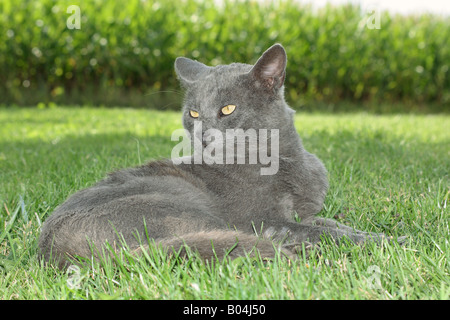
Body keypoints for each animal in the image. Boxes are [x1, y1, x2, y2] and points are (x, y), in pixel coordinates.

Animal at [37, 42, 400, 268]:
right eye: (193, 113)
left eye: (227, 109)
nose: (202, 134)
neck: (282, 159)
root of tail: (56, 252)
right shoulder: (262, 219)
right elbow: (320, 230)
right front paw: (386, 241)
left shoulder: (306, 211)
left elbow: (328, 222)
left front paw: (371, 232)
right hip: (184, 208)